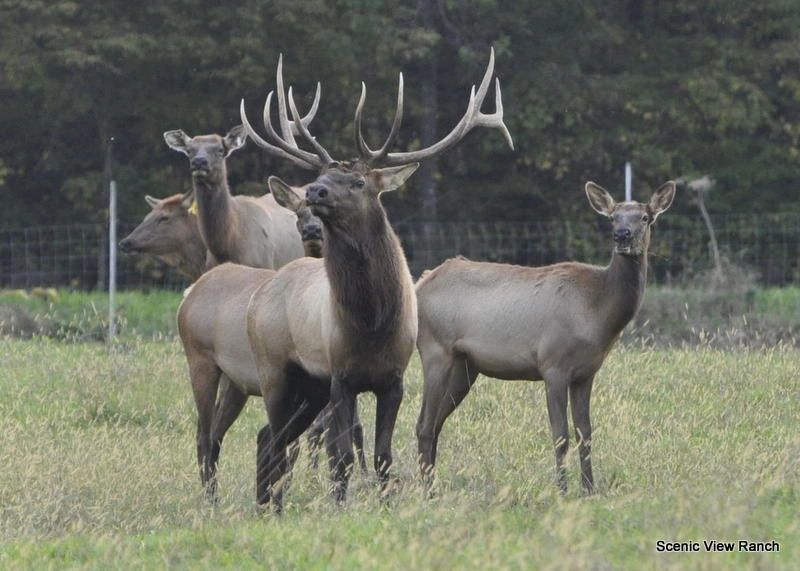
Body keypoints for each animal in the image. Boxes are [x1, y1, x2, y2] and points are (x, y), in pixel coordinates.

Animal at [240, 49, 513, 511]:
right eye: (321, 178)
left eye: (357, 181)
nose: (314, 191)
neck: (371, 323)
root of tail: (261, 294)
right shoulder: (340, 377)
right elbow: (342, 455)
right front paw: (339, 505)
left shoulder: (394, 378)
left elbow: (383, 454)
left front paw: (386, 504)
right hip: (274, 367)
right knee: (274, 440)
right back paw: (269, 505)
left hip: (307, 386)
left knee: (269, 437)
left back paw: (267, 504)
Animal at [414, 181, 676, 495]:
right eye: (613, 217)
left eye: (645, 217)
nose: (622, 235)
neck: (597, 313)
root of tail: (418, 285)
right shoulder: (553, 365)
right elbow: (560, 435)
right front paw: (562, 491)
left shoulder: (585, 373)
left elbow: (585, 433)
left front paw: (589, 489)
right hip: (435, 349)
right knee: (424, 425)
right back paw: (427, 492)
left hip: (465, 365)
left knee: (435, 423)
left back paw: (430, 486)